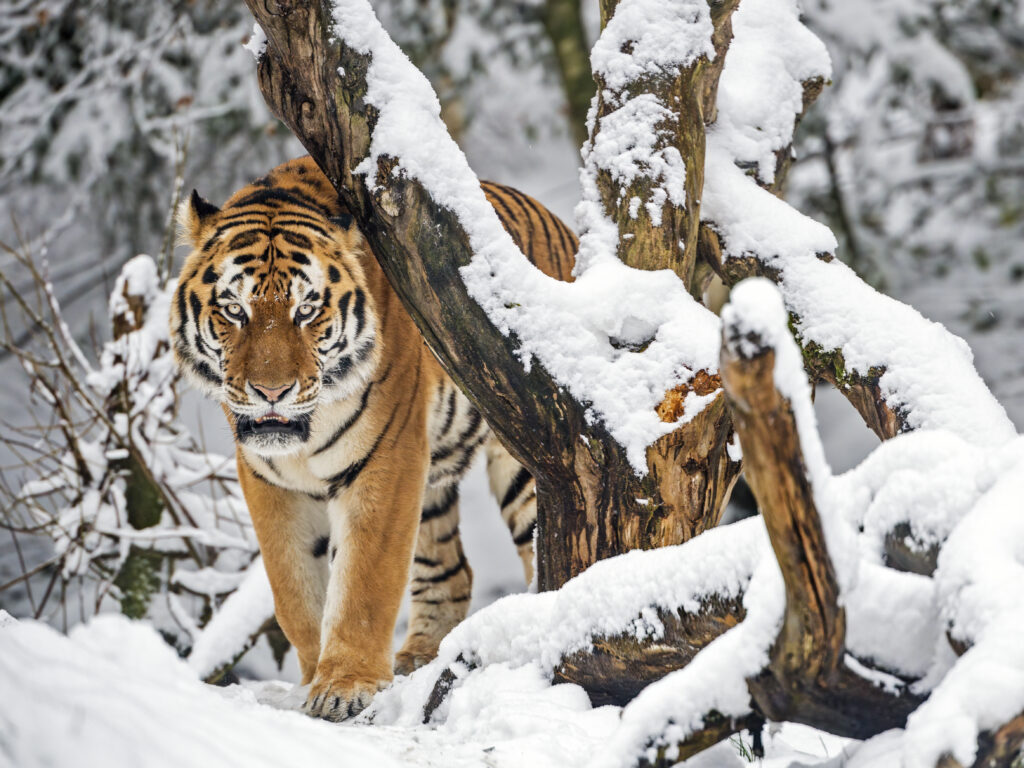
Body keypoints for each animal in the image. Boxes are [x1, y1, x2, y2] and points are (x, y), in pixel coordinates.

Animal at [171, 156, 576, 721]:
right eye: (234, 310)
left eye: (306, 311)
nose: (271, 392)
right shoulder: (267, 480)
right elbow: (294, 590)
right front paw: (312, 677)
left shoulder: (386, 458)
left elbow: (365, 581)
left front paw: (346, 685)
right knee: (451, 572)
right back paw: (418, 659)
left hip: (526, 458)